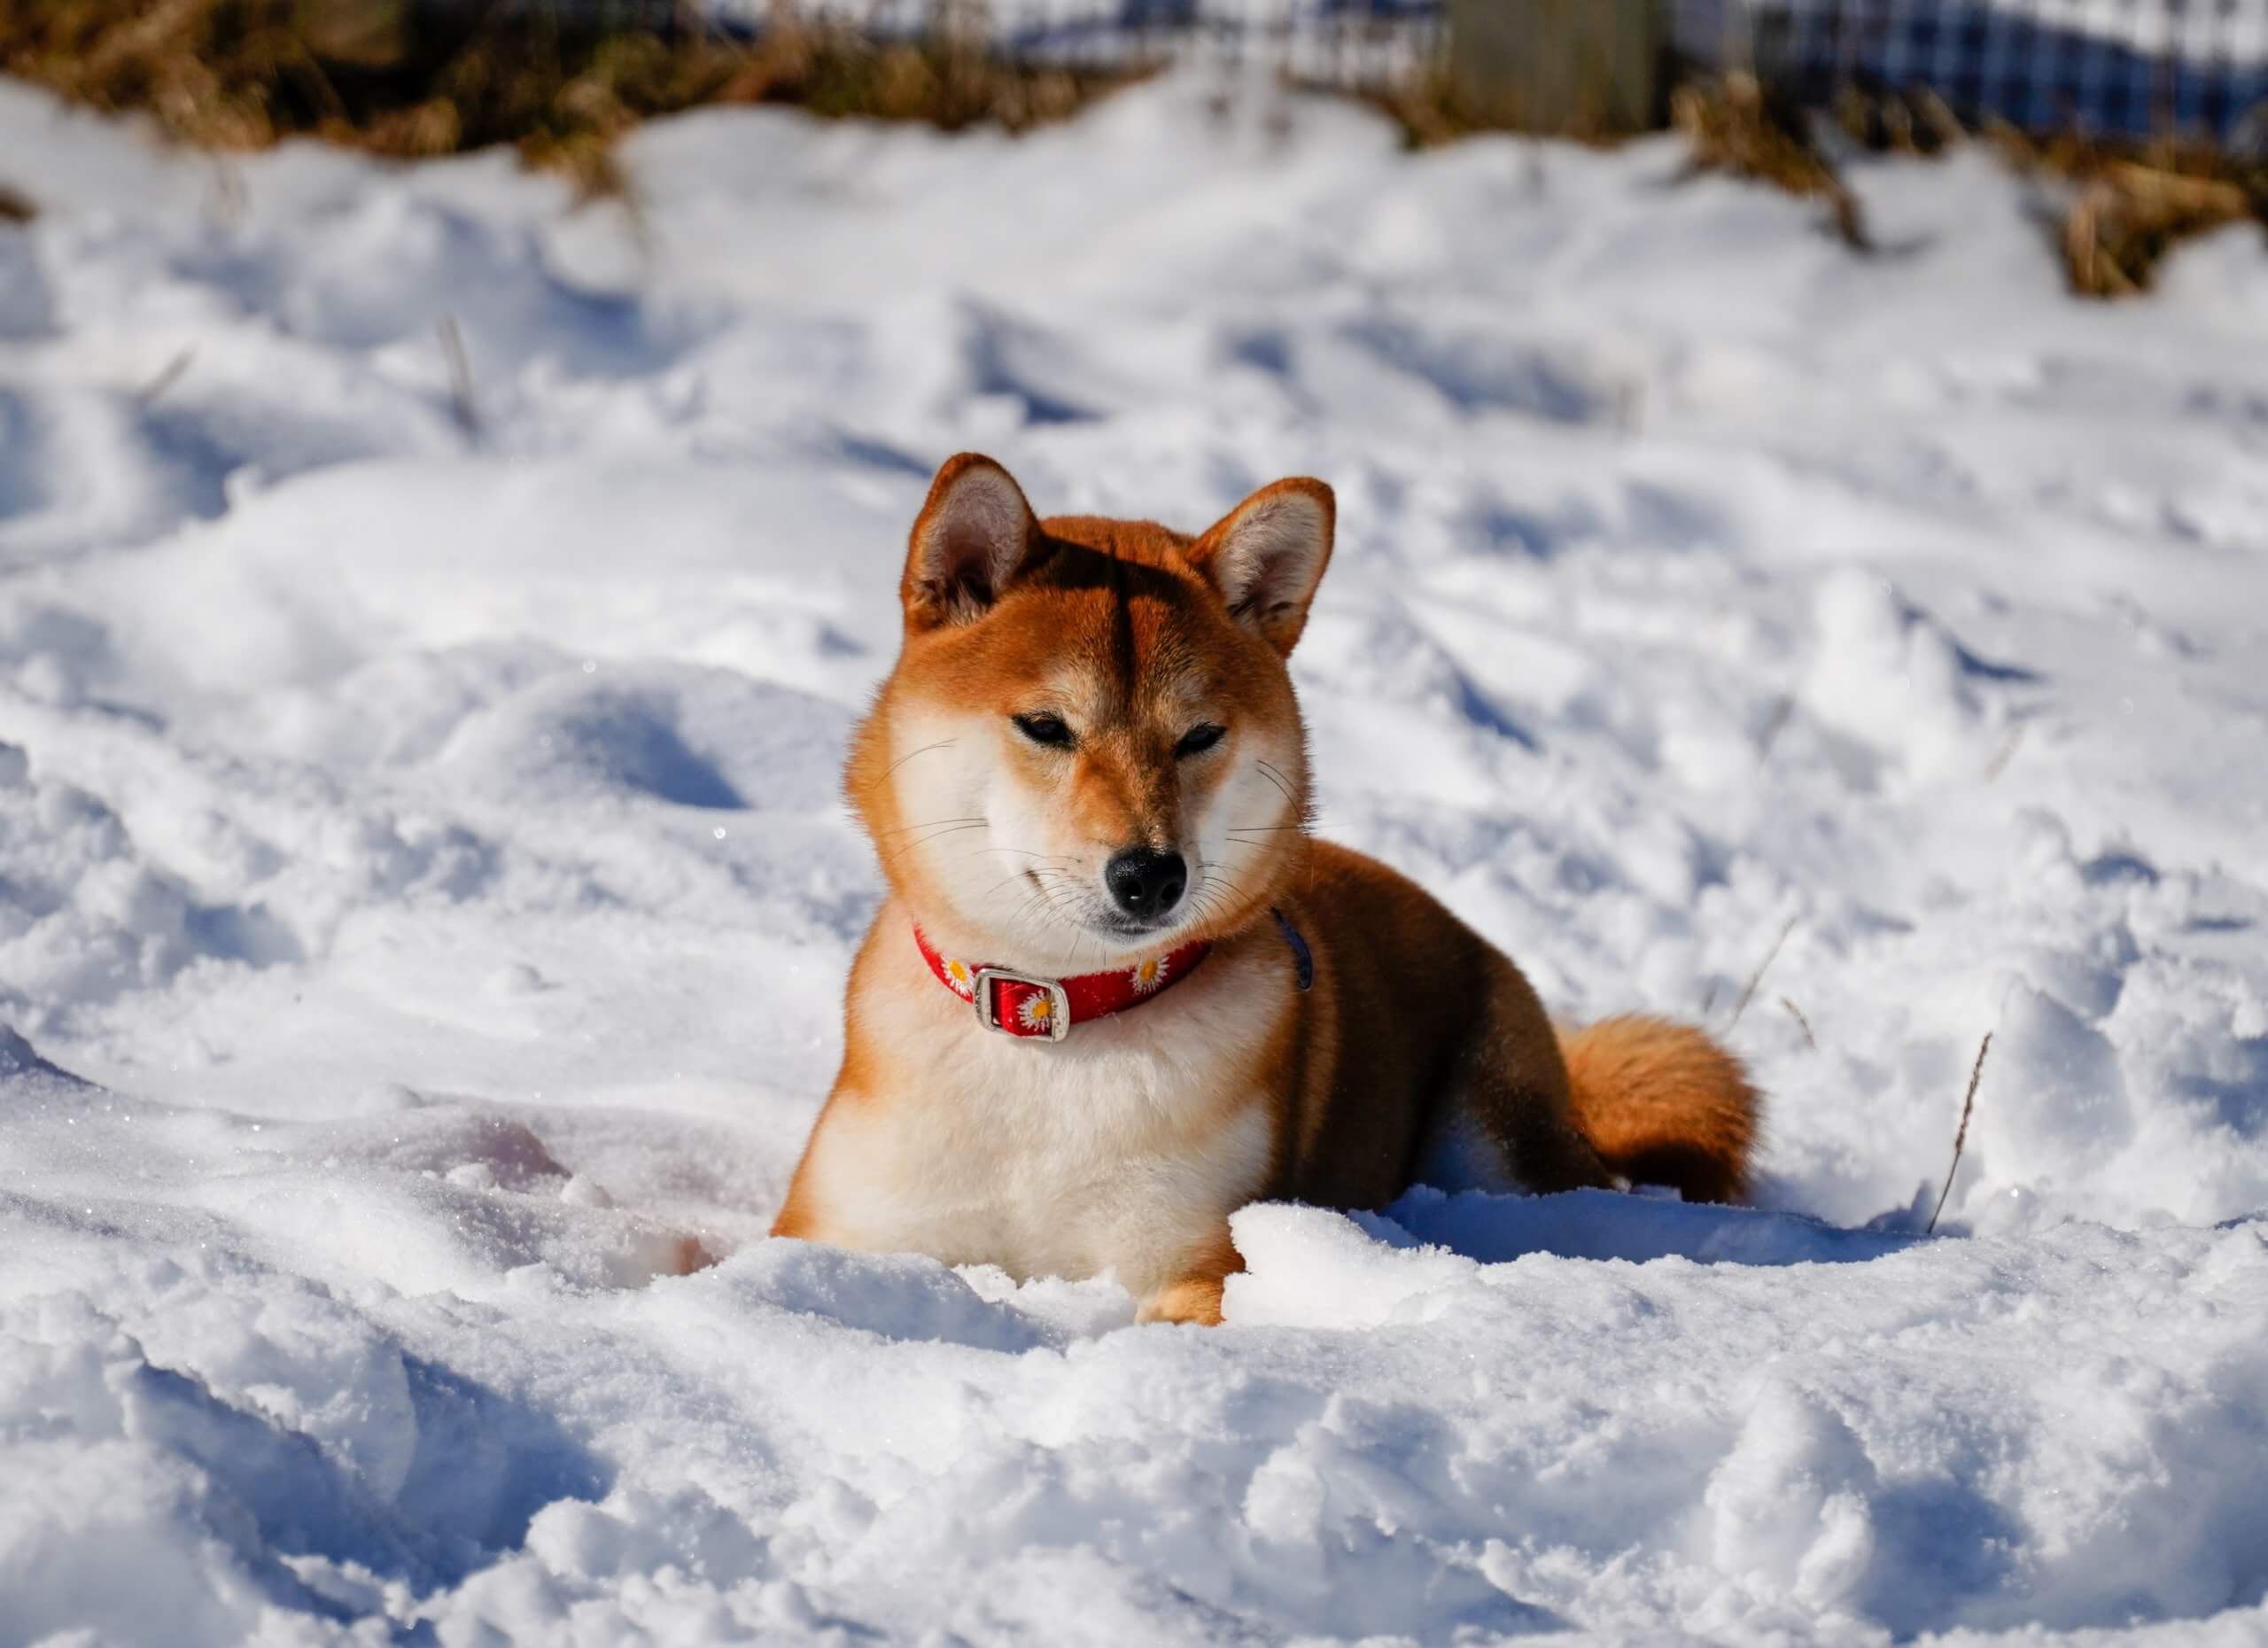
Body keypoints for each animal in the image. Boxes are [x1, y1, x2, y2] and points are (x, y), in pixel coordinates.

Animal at [771, 453, 1759, 1324]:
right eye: (1046, 726)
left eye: (1199, 736)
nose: (1149, 874)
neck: (1057, 1027)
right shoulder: (839, 1227)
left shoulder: (1202, 1254)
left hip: (1499, 1128)